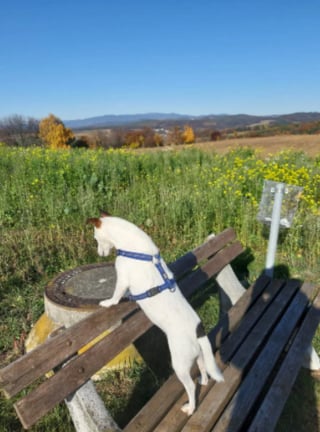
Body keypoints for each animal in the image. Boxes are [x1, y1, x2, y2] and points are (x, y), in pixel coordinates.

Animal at [86, 213, 224, 416]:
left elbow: (116, 295)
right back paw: (204, 381)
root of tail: (198, 331)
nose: (99, 254)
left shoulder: (122, 279)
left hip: (180, 363)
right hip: (198, 355)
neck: (133, 246)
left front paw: (108, 303)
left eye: (95, 238)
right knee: (203, 368)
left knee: (190, 387)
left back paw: (190, 408)